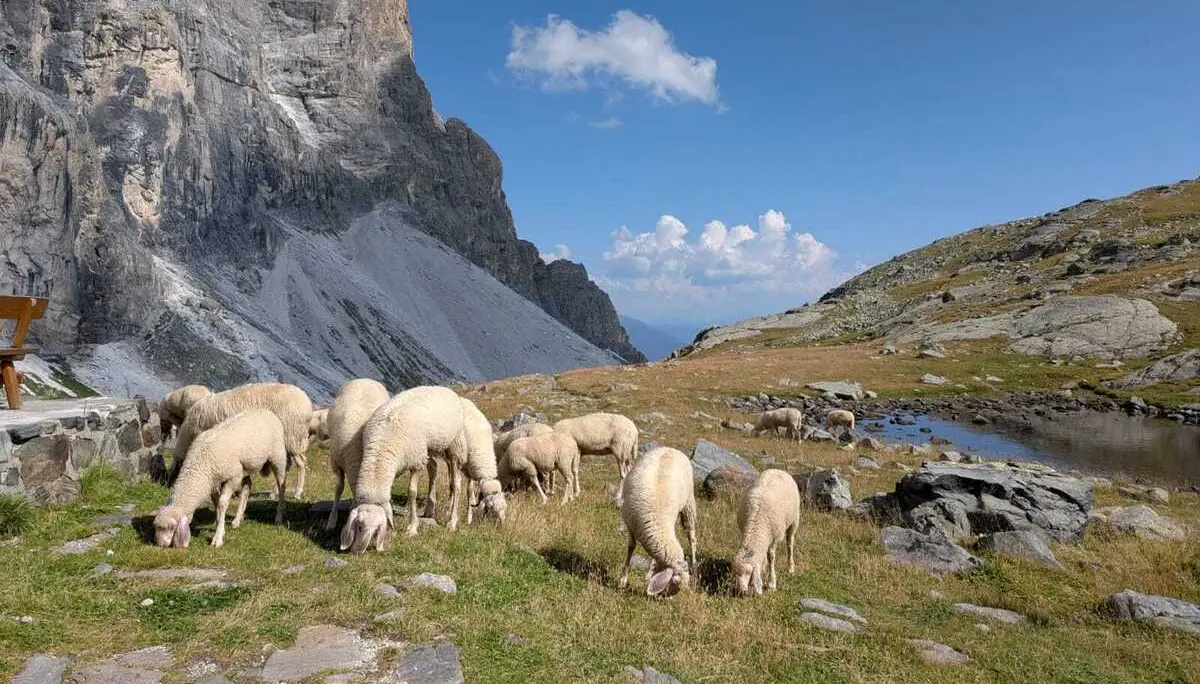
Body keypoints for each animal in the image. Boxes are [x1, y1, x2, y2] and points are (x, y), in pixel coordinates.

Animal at [153, 408, 288, 548]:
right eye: (156, 527)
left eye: (171, 527)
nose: (160, 544)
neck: (201, 464)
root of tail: (266, 411)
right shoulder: (213, 482)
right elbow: (216, 503)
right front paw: (219, 525)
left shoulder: (232, 477)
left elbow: (222, 503)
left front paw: (217, 537)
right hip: (245, 466)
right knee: (247, 487)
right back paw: (237, 519)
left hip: (278, 457)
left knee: (281, 486)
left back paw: (279, 517)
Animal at [168, 382, 313, 498]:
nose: (167, 486)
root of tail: (306, 404)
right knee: (286, 467)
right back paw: (274, 493)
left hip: (292, 437)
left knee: (301, 463)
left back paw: (297, 492)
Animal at [617, 446, 698, 597]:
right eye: (675, 582)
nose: (668, 598)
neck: (657, 522)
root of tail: (671, 448)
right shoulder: (630, 523)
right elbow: (631, 547)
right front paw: (623, 580)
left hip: (689, 502)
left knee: (692, 536)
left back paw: (695, 563)